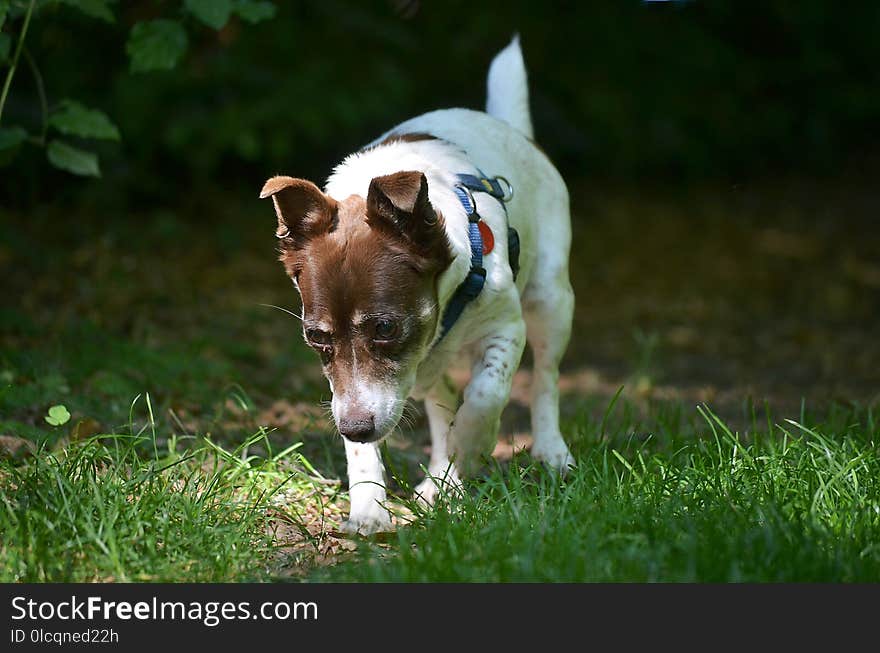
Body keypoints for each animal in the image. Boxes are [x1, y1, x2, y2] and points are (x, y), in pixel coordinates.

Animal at [260, 37, 576, 536]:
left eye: (386, 327)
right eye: (315, 336)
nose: (354, 428)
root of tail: (503, 123)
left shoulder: (507, 327)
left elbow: (486, 393)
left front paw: (473, 445)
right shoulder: (353, 390)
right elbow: (367, 442)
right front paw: (368, 508)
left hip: (550, 299)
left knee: (545, 377)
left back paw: (550, 452)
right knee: (441, 398)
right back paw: (441, 481)